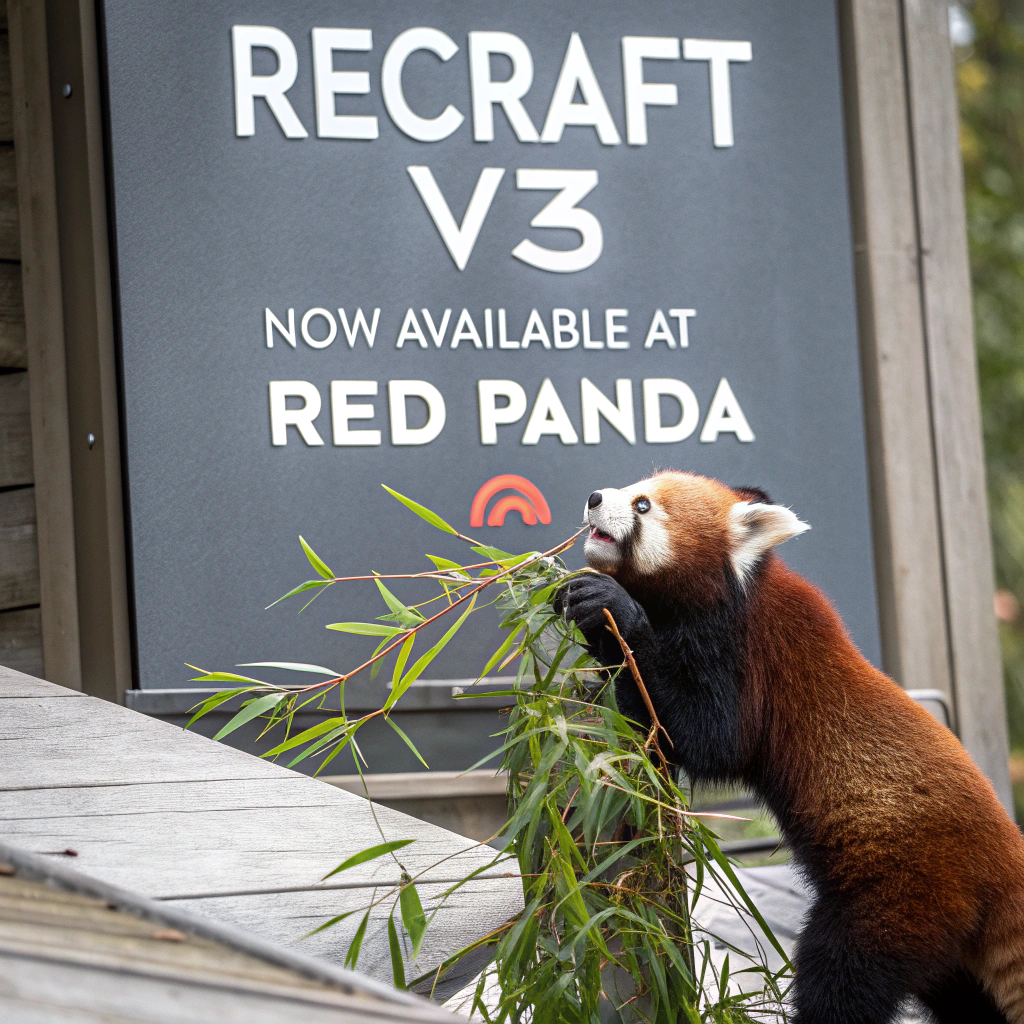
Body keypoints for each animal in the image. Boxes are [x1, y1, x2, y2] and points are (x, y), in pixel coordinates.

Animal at [559, 470, 1024, 1024]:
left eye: (643, 505)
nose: (593, 497)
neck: (733, 591)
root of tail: (1002, 862)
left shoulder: (742, 653)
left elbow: (707, 737)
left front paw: (617, 611)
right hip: (946, 946)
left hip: (902, 890)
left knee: (841, 974)